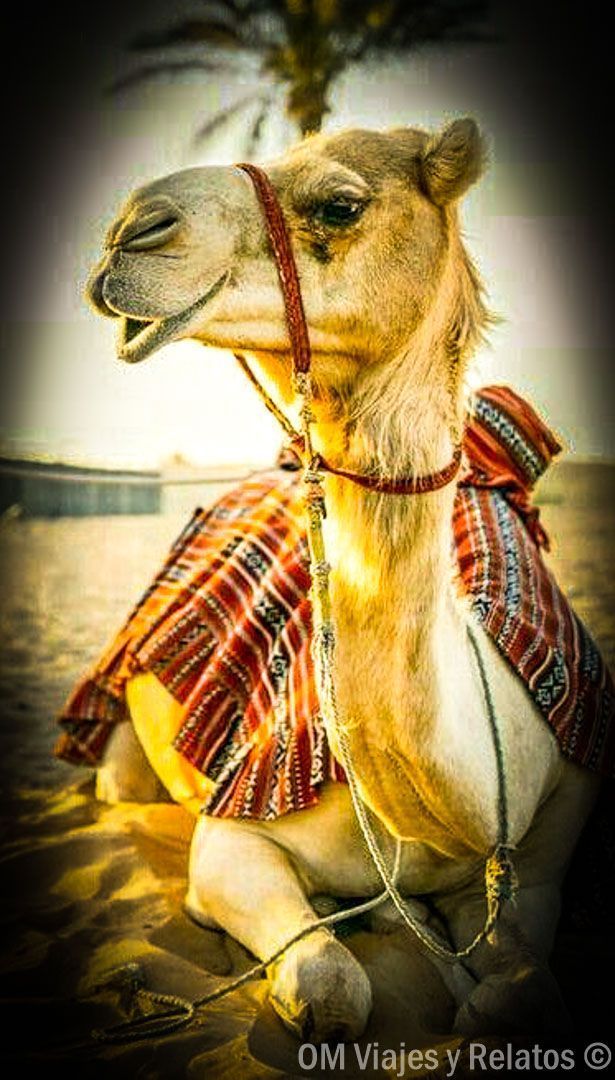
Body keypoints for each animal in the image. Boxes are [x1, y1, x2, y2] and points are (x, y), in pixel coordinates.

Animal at [84, 119, 602, 1043]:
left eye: (339, 203)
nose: (128, 232)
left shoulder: (540, 856)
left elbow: (519, 995)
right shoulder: (231, 839)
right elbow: (328, 985)